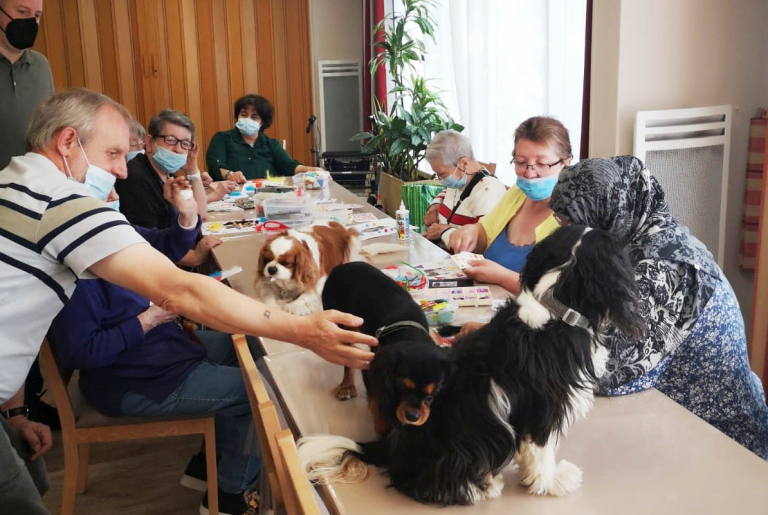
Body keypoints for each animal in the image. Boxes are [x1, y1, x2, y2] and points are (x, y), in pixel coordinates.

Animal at [296, 227, 644, 508]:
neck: (554, 305)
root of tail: (390, 446)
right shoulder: (546, 408)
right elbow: (543, 452)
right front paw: (552, 481)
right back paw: (481, 487)